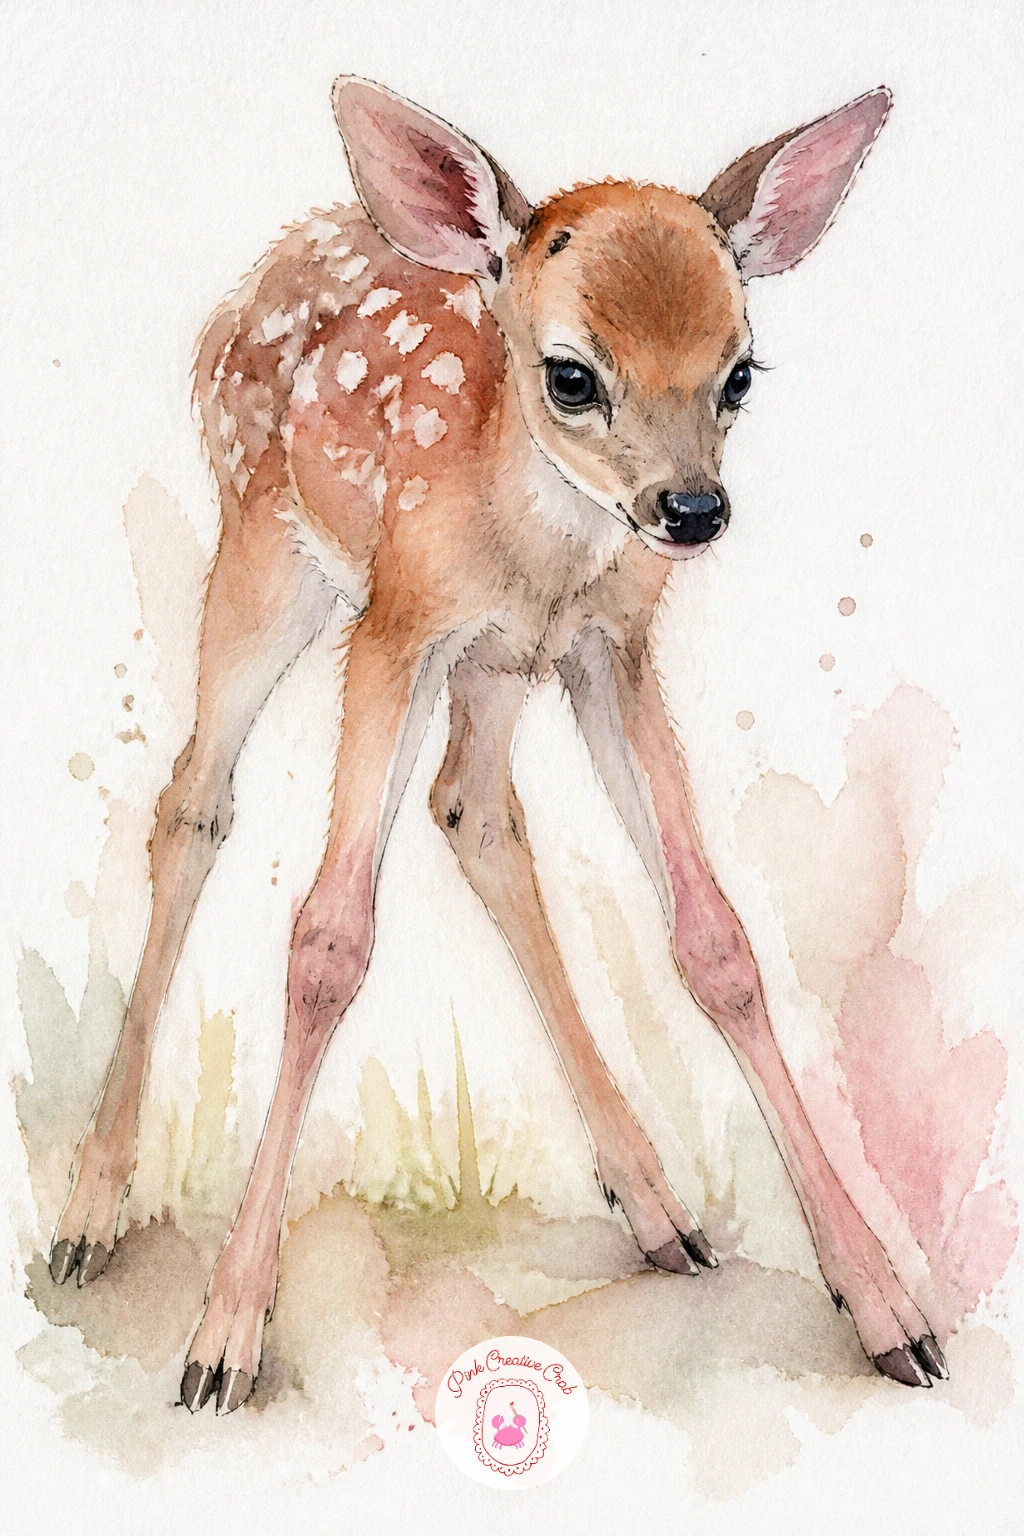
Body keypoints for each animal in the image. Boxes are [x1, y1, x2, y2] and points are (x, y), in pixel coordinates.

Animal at [48, 76, 948, 1414]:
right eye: (571, 375)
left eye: (738, 373)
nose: (691, 509)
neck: (535, 545)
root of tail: (268, 262)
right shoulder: (394, 627)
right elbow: (326, 946)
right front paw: (224, 1339)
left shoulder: (610, 646)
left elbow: (718, 942)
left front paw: (886, 1307)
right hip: (267, 557)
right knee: (194, 803)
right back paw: (88, 1214)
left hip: (493, 670)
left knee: (473, 812)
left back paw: (656, 1206)